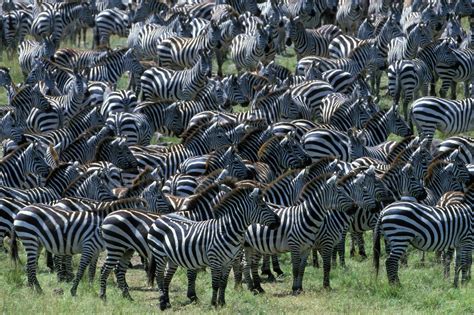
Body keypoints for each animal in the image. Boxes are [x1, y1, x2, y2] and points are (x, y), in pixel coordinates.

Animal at [148, 185, 280, 312]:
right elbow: (215, 283)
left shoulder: (228, 262)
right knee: (159, 276)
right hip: (159, 255)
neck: (226, 231)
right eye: (263, 205)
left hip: (172, 258)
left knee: (166, 277)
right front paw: (213, 304)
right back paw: (162, 304)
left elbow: (223, 283)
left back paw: (167, 302)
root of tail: (160, 217)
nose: (278, 221)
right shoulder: (215, 261)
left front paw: (222, 303)